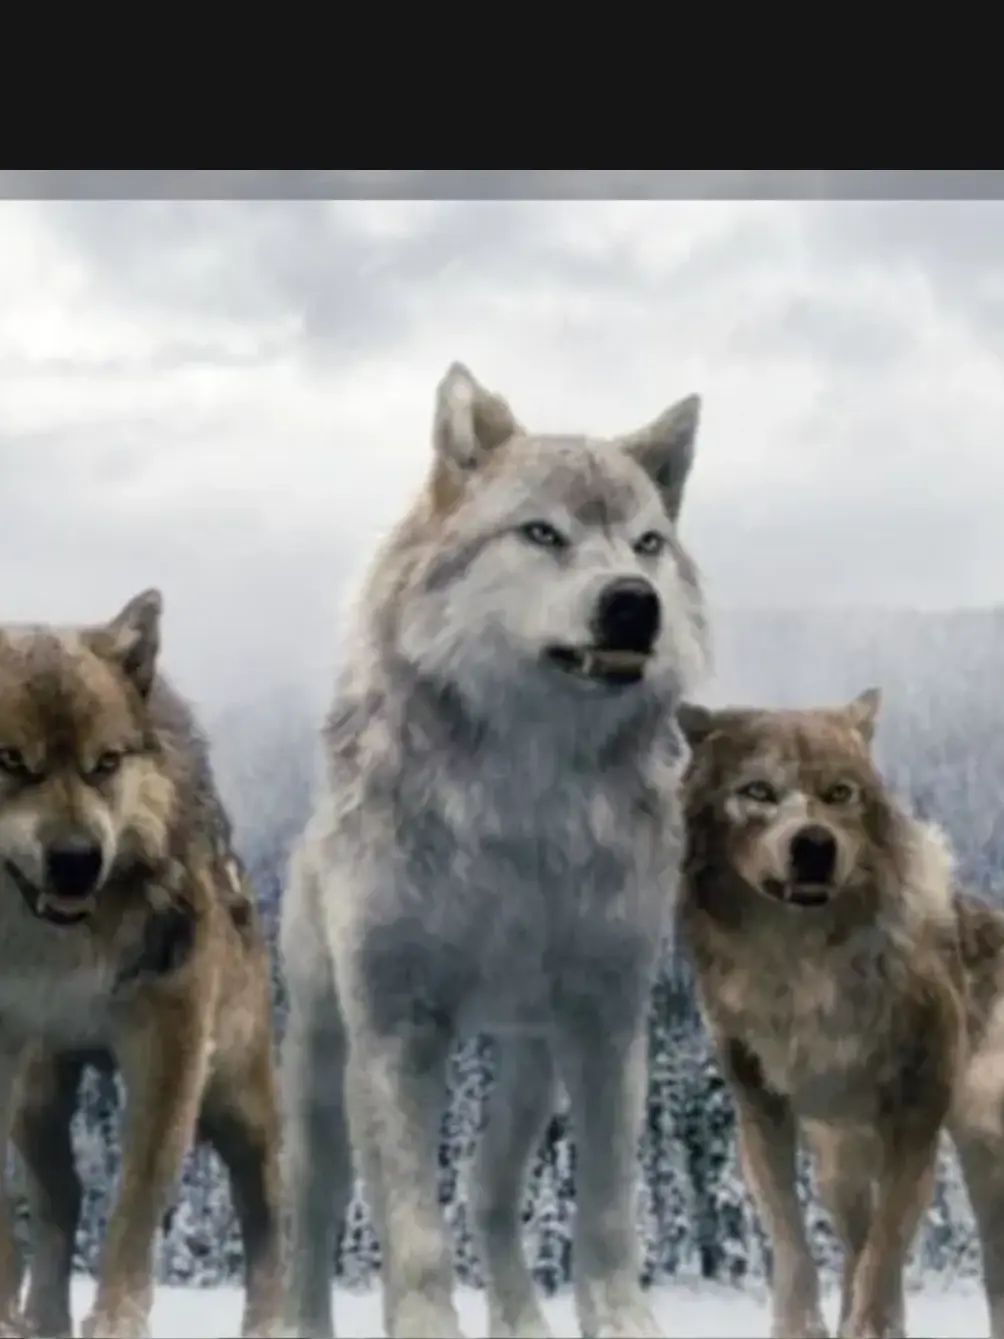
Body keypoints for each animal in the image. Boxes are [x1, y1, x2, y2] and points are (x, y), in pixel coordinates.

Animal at [0, 589, 283, 1339]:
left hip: (240, 1104)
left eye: (105, 763)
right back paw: (39, 1320)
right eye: (11, 761)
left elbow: (134, 1206)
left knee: (268, 1215)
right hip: (37, 1100)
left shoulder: (169, 1048)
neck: (56, 958)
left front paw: (117, 1323)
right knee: (61, 1198)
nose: (77, 861)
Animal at [280, 362, 709, 1339]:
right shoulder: (395, 1032)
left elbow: (606, 1216)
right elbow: (413, 1235)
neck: (525, 810)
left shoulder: (606, 1022)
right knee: (309, 1209)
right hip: (323, 1065)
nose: (634, 603)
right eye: (542, 533)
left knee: (486, 1188)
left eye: (647, 544)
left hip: (527, 1069)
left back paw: (522, 1322)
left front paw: (624, 1324)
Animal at [675, 690, 1004, 1339]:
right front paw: (803, 1325)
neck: (805, 969)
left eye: (839, 793)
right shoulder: (761, 1109)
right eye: (758, 791)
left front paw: (872, 1325)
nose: (813, 845)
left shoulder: (918, 1112)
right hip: (843, 1163)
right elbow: (790, 1234)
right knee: (853, 1243)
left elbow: (889, 1242)